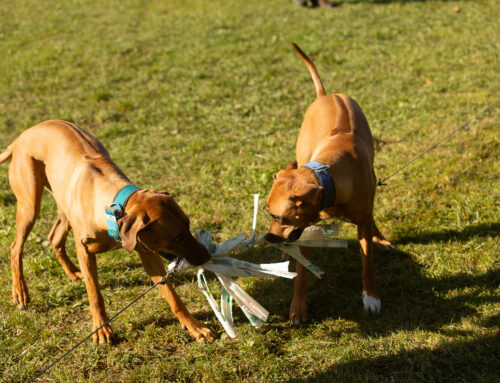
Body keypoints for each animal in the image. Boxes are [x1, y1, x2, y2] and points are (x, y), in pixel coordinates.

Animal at [0, 121, 215, 344]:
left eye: (188, 225)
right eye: (178, 237)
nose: (207, 255)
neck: (111, 209)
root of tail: (21, 137)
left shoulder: (146, 250)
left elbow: (173, 296)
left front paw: (194, 326)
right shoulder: (85, 251)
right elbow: (95, 294)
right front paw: (101, 329)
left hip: (62, 205)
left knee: (54, 238)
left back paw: (72, 273)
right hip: (29, 204)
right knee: (16, 246)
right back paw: (20, 292)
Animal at [264, 43, 392, 326]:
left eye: (277, 216)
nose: (267, 238)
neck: (328, 177)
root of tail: (327, 94)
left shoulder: (360, 218)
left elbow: (367, 264)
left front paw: (372, 297)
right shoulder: (306, 229)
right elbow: (301, 273)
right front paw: (297, 308)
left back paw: (378, 236)